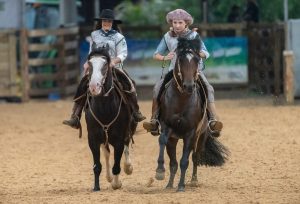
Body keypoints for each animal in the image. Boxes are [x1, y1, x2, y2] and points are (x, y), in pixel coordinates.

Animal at [84, 46, 136, 191]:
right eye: (89, 64)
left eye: (105, 65)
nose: (94, 87)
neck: (104, 108)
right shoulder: (93, 139)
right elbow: (97, 166)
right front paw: (96, 187)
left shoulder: (118, 140)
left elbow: (117, 165)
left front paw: (117, 184)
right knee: (106, 153)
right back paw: (108, 177)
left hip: (129, 129)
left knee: (127, 145)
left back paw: (128, 167)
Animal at [155, 37, 230, 191]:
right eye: (180, 59)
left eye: (196, 59)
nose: (189, 85)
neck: (182, 99)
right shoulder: (167, 126)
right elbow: (163, 142)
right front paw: (160, 171)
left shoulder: (190, 132)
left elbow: (185, 161)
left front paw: (181, 186)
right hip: (174, 138)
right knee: (173, 161)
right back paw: (169, 184)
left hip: (201, 136)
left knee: (195, 156)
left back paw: (194, 180)